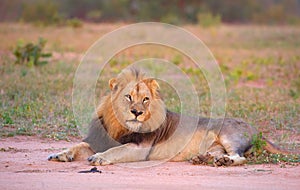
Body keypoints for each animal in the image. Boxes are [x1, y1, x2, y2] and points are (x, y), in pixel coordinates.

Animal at [48, 67, 294, 166]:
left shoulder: (141, 148)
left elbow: (115, 151)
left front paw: (99, 158)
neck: (120, 124)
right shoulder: (99, 139)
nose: (137, 112)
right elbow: (78, 146)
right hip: (215, 144)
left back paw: (223, 162)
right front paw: (60, 154)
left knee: (239, 157)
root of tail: (257, 130)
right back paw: (204, 159)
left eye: (146, 99)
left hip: (228, 135)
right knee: (219, 153)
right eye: (128, 97)